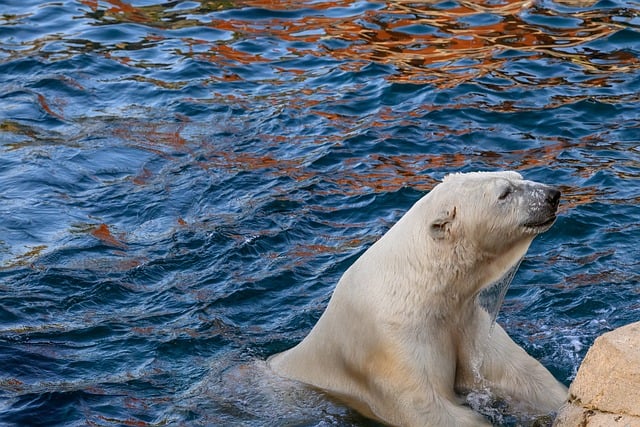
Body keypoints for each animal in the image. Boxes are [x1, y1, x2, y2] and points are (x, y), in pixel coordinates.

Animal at [268, 171, 568, 427]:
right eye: (504, 193)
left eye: (518, 177)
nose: (552, 195)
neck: (422, 282)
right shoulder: (391, 344)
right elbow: (429, 406)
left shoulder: (466, 319)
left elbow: (518, 373)